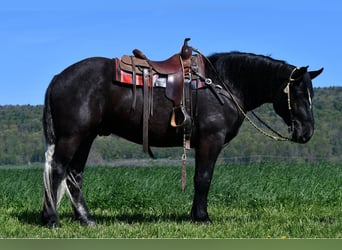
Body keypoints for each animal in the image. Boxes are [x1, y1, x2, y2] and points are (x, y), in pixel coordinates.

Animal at [41, 46, 322, 227]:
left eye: (312, 94)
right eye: (298, 93)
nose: (307, 133)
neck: (223, 84)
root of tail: (58, 78)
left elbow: (200, 178)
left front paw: (195, 215)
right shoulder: (211, 141)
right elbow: (203, 178)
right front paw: (202, 217)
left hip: (86, 138)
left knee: (74, 175)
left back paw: (86, 219)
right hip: (72, 136)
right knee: (57, 170)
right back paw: (52, 220)